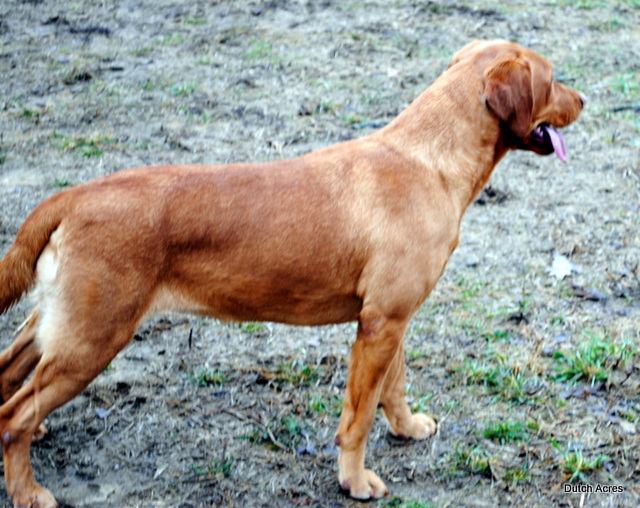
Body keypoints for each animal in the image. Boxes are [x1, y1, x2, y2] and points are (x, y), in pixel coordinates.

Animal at [0, 39, 584, 504]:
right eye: (554, 78)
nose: (583, 101)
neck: (428, 159)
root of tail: (71, 197)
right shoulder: (381, 324)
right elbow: (358, 417)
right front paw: (355, 481)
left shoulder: (391, 319)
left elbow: (393, 388)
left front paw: (408, 427)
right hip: (92, 340)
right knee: (14, 417)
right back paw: (29, 491)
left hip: (54, 327)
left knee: (9, 377)